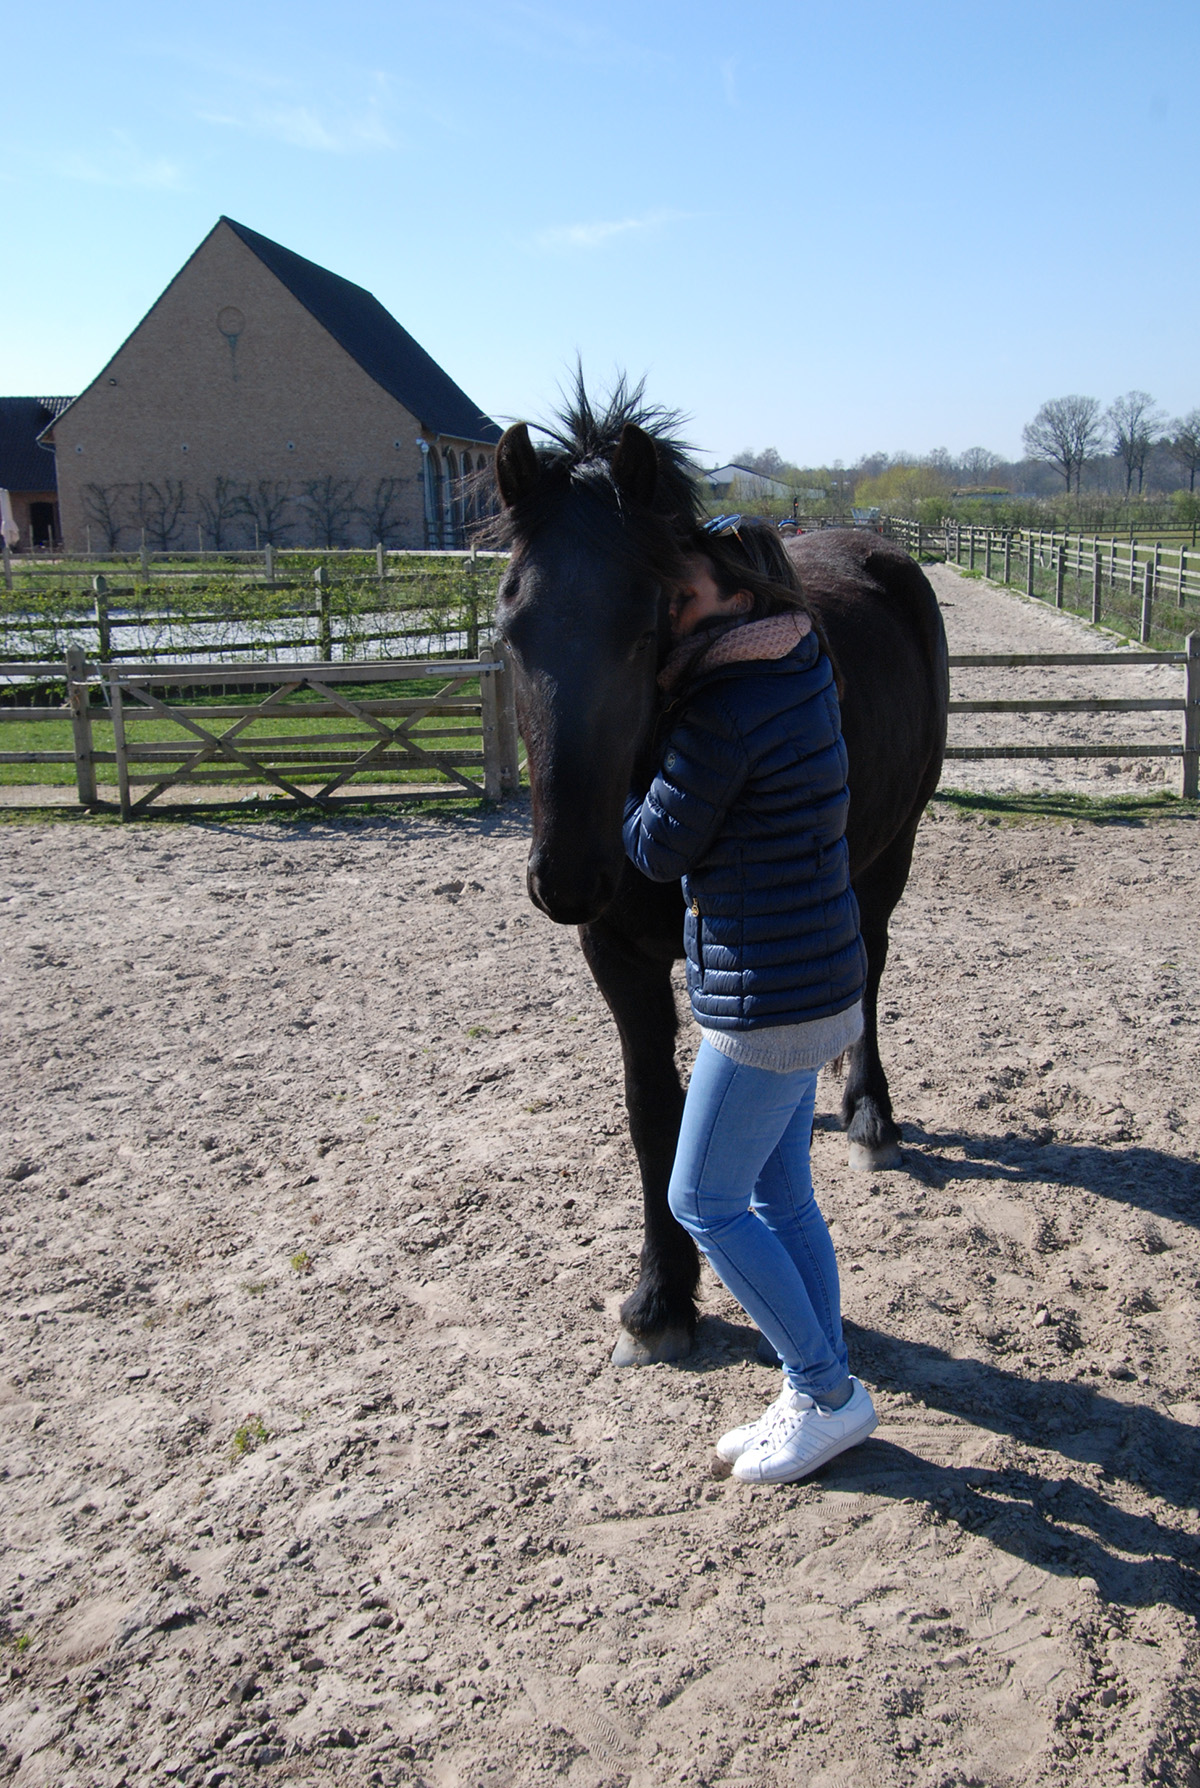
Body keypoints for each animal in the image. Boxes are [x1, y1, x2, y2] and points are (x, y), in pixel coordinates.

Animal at [490, 384, 951, 1366]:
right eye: (511, 630)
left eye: (644, 627)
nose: (567, 877)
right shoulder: (618, 955)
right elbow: (653, 1110)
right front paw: (662, 1293)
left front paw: (666, 1294)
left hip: (891, 852)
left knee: (870, 972)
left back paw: (868, 1114)